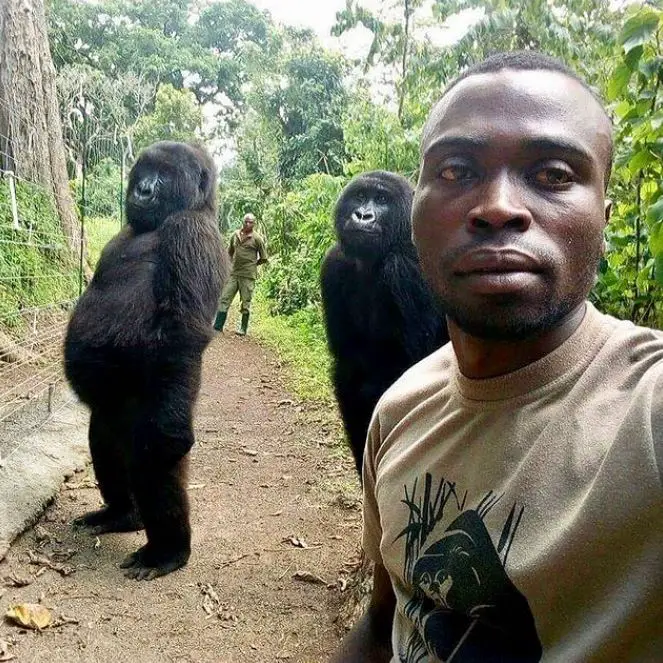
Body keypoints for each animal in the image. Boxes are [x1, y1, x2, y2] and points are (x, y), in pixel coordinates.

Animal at [63, 141, 228, 580]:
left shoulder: (191, 233)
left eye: (166, 175)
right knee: (104, 441)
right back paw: (122, 514)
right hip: (111, 414)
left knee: (153, 459)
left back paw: (168, 551)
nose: (143, 189)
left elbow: (182, 335)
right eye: (145, 169)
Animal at [320, 171, 448, 478]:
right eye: (359, 196)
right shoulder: (334, 264)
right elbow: (349, 372)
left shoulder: (407, 268)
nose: (362, 215)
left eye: (381, 199)